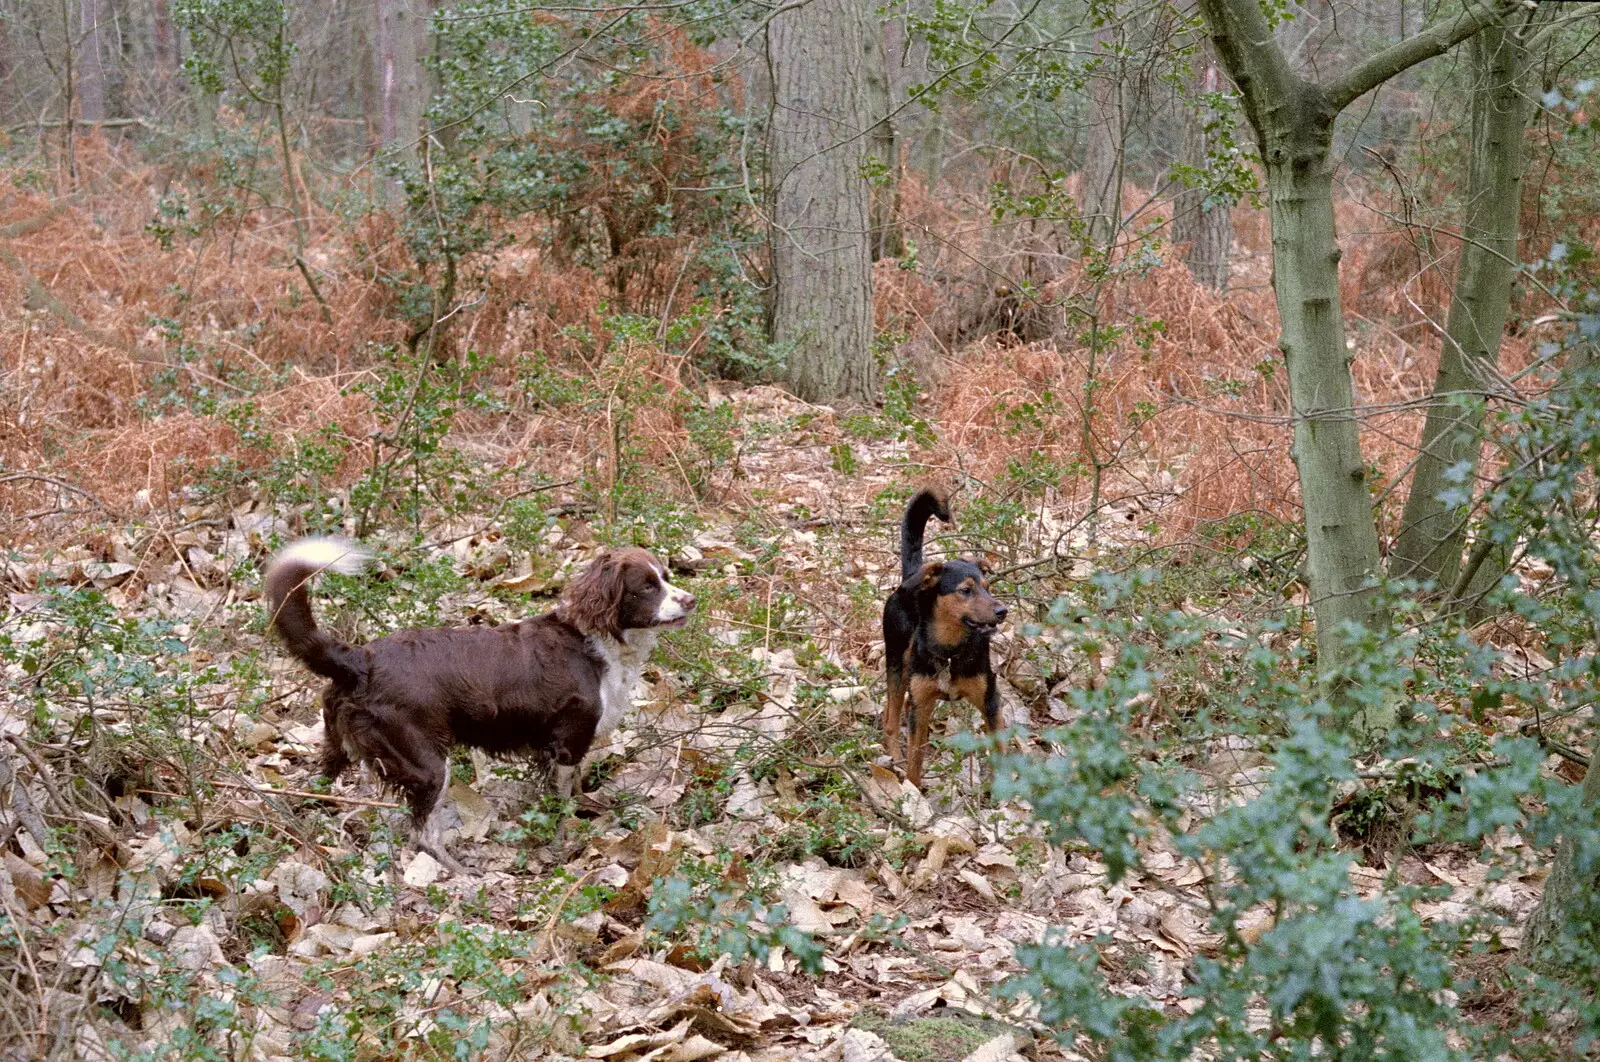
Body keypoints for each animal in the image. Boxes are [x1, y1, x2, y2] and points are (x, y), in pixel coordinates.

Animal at [883, 489, 1004, 786]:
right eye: (966, 590)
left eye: (988, 588)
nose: (1002, 611)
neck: (950, 649)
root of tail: (911, 576)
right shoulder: (920, 708)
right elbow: (915, 761)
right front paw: (913, 793)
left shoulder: (990, 701)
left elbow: (1002, 752)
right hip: (897, 664)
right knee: (891, 720)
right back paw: (894, 757)